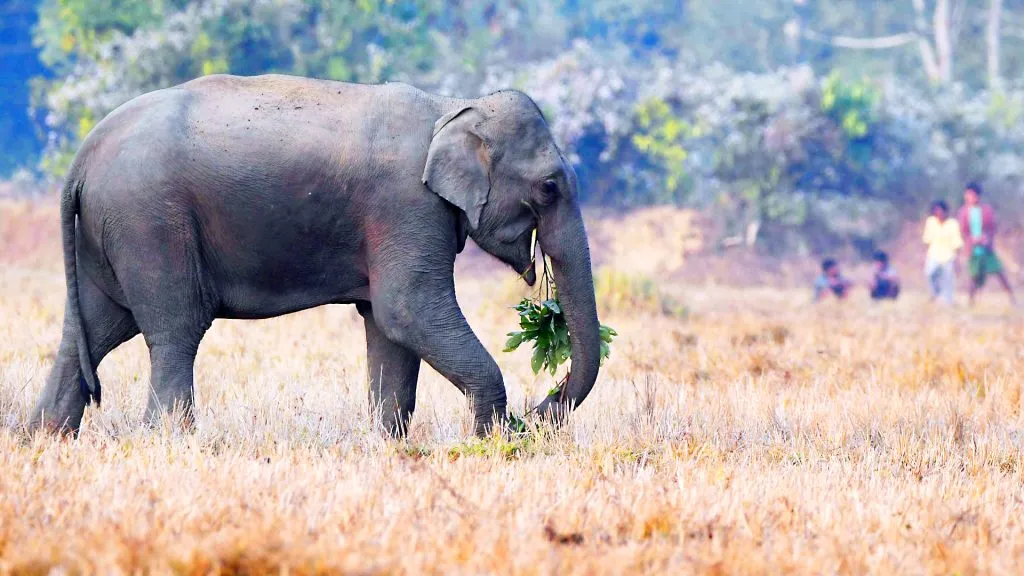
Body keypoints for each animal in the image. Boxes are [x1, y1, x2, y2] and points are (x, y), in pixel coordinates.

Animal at [29, 74, 602, 437]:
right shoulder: (404, 205)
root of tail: (83, 155)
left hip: (111, 231)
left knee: (93, 329)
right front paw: (497, 442)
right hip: (150, 223)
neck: (452, 106)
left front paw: (388, 443)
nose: (539, 411)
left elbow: (387, 327)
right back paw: (168, 438)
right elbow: (408, 310)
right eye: (550, 187)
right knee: (174, 329)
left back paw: (43, 439)